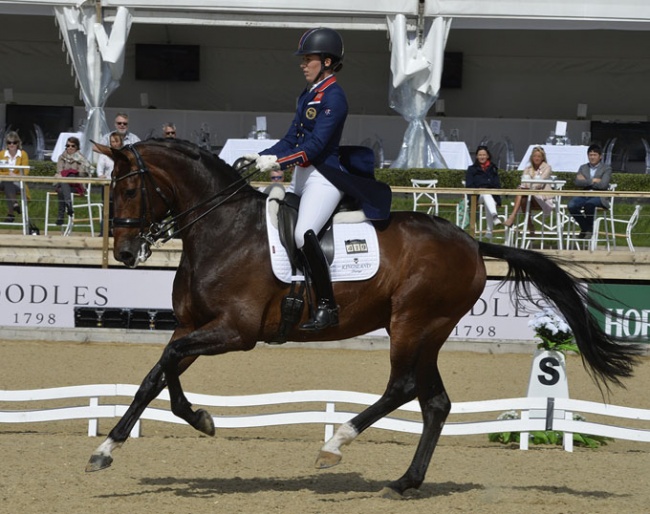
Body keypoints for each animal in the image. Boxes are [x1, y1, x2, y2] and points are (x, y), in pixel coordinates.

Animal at [86, 138, 636, 494]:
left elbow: (167, 363)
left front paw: (182, 424)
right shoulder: (193, 325)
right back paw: (407, 482)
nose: (127, 253)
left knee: (403, 388)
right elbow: (158, 374)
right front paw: (128, 441)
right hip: (428, 331)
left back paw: (335, 444)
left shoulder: (235, 331)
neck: (223, 229)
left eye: (130, 188)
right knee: (435, 402)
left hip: (412, 323)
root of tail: (469, 241)